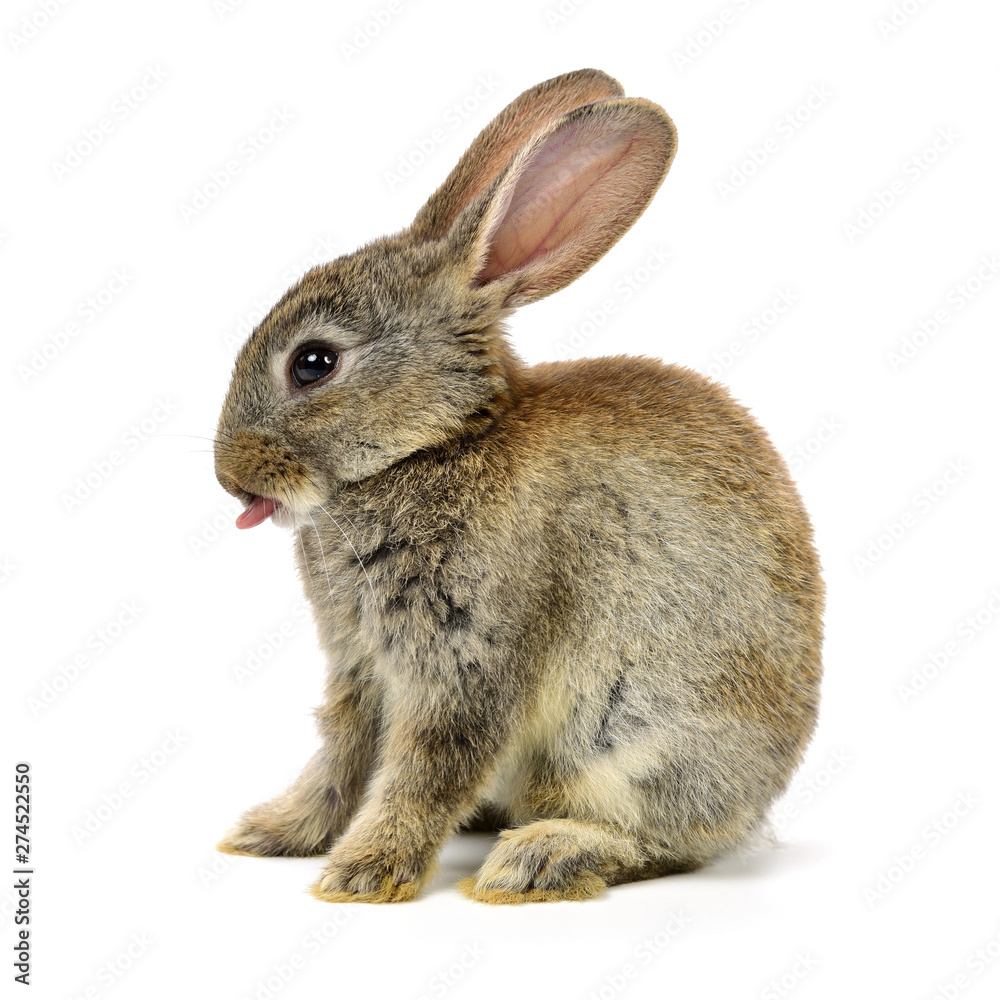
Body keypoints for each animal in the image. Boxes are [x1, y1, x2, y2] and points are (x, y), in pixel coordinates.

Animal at [213, 67, 824, 905]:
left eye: (313, 363)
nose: (227, 476)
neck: (435, 445)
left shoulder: (470, 658)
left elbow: (429, 769)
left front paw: (362, 874)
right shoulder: (362, 669)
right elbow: (340, 760)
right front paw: (272, 834)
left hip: (637, 742)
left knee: (662, 841)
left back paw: (538, 859)